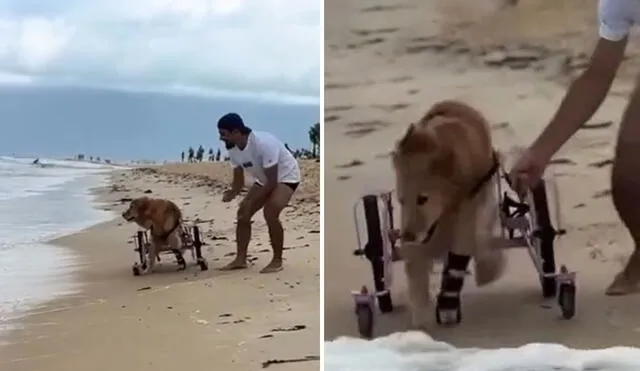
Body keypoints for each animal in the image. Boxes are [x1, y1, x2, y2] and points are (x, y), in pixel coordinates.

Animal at [390, 100, 504, 330]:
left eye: (423, 199)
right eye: (401, 200)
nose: (407, 236)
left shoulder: (468, 209)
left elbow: (461, 251)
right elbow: (416, 264)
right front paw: (420, 312)